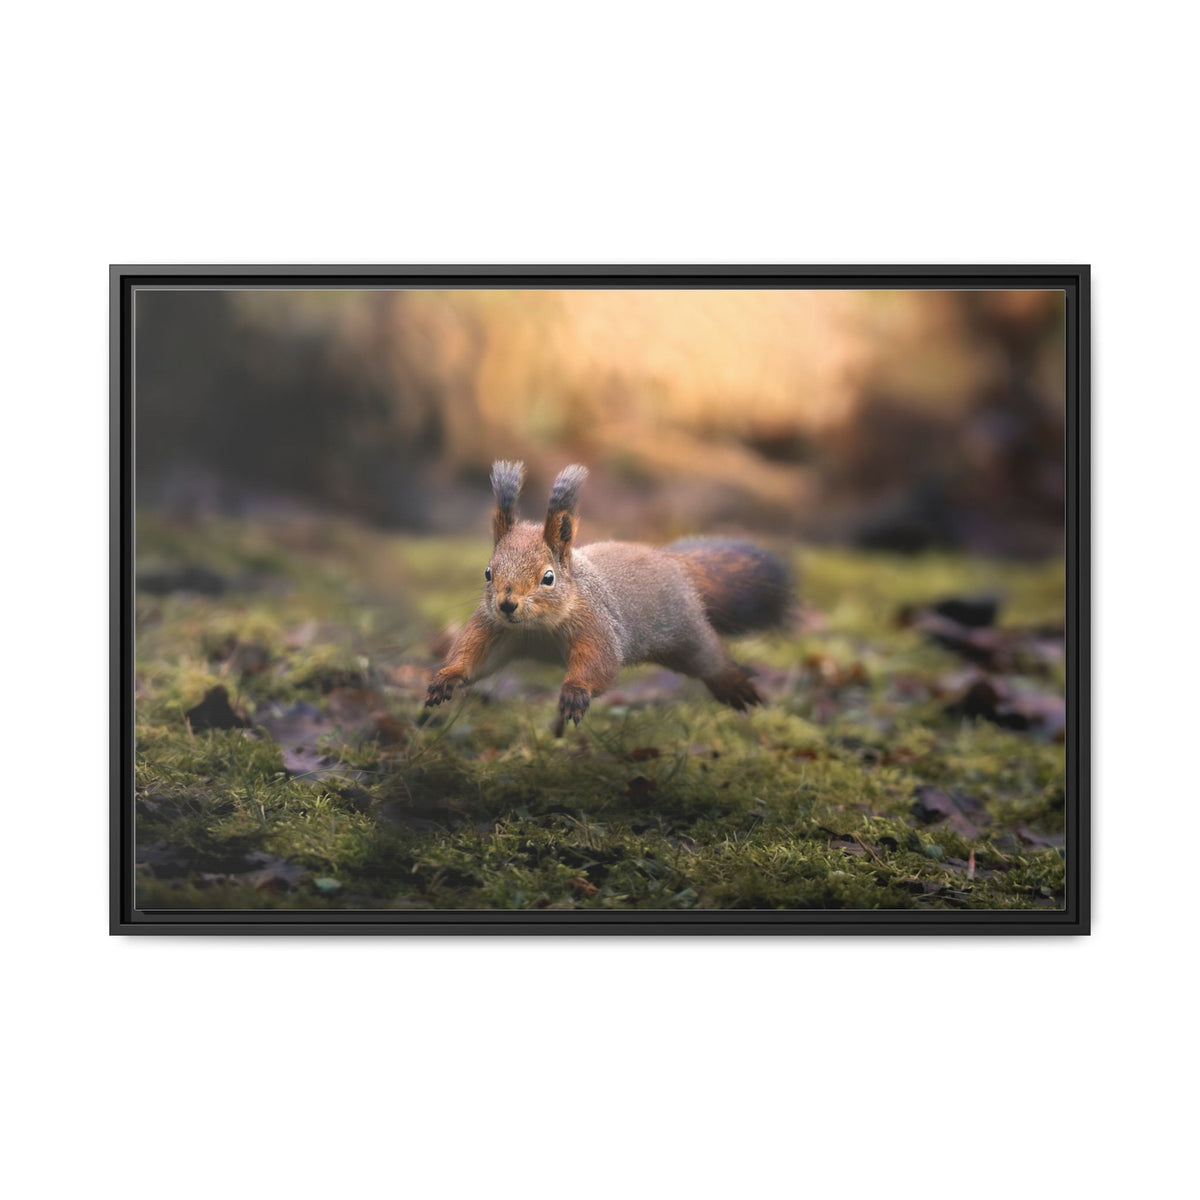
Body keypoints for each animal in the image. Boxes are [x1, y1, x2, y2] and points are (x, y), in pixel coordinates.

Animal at [425, 461, 794, 734]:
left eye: (548, 578)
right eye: (488, 572)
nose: (506, 604)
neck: (537, 628)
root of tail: (673, 562)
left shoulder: (595, 624)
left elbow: (599, 662)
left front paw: (575, 691)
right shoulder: (495, 629)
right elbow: (473, 655)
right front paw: (446, 677)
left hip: (685, 631)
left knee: (710, 656)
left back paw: (733, 683)